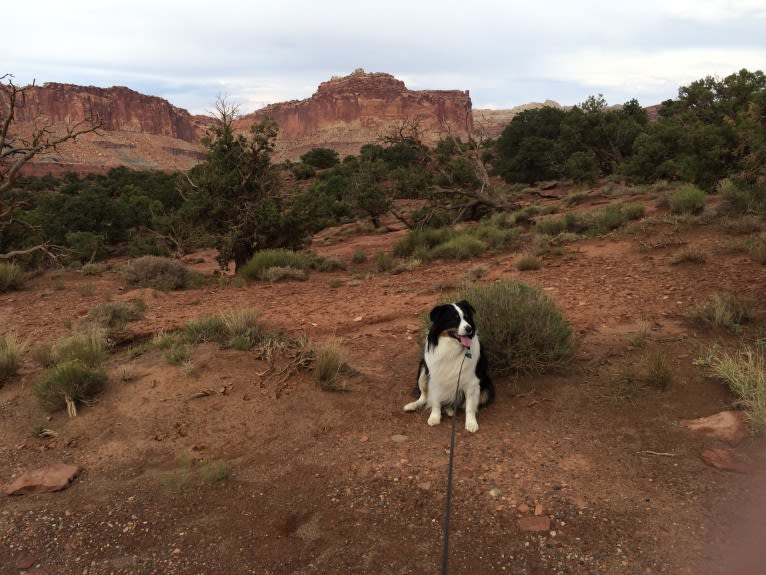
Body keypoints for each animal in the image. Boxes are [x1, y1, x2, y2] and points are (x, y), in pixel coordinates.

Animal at [404, 302, 496, 432]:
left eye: (467, 317)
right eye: (454, 319)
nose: (469, 328)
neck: (451, 347)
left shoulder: (472, 382)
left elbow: (470, 406)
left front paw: (471, 423)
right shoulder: (435, 378)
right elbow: (435, 400)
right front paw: (434, 417)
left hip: (487, 388)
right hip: (422, 370)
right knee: (424, 396)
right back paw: (413, 405)